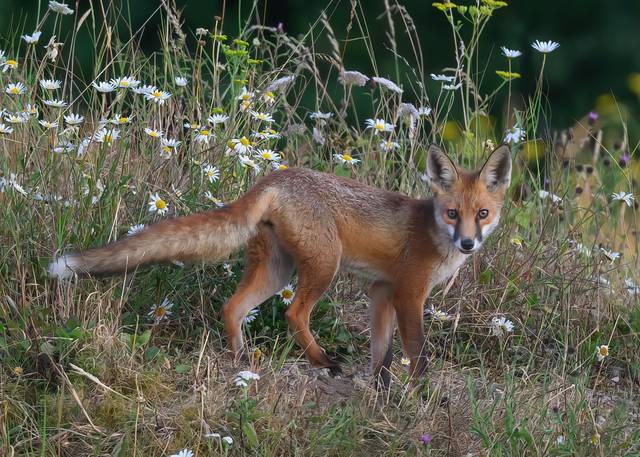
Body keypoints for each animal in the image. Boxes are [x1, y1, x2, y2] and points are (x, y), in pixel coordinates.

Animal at [48, 144, 511, 388]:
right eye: (452, 214)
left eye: (482, 214)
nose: (468, 243)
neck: (432, 234)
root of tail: (275, 177)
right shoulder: (409, 293)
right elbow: (417, 352)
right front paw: (418, 392)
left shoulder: (380, 290)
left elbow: (382, 352)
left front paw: (381, 389)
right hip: (323, 265)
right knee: (294, 313)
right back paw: (322, 361)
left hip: (276, 271)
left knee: (233, 307)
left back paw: (241, 359)